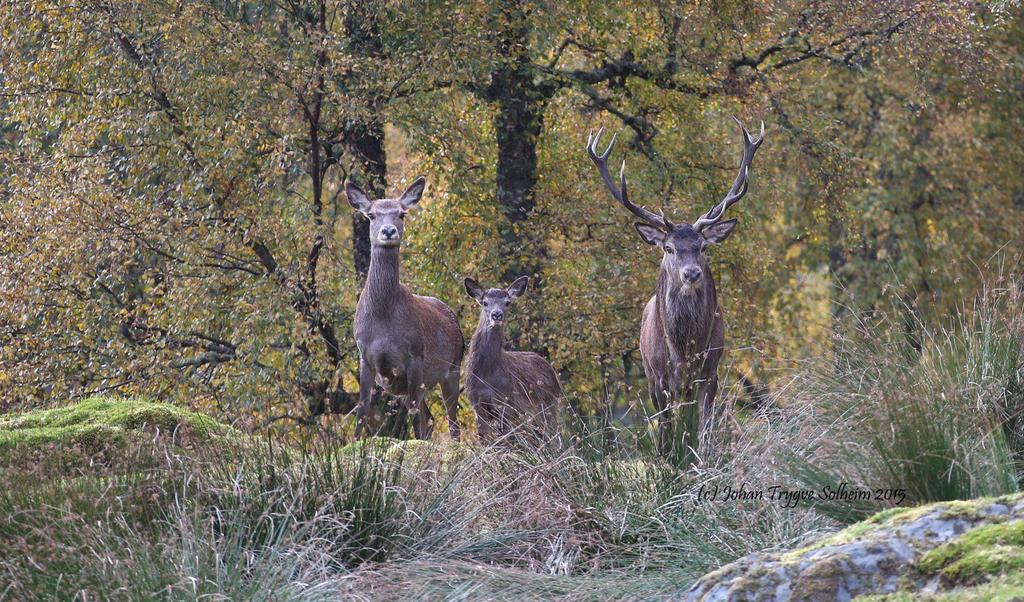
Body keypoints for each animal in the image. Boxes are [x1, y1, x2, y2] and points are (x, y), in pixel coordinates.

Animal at [350, 176, 466, 440]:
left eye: (401, 214)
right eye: (371, 215)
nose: (388, 230)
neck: (383, 318)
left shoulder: (415, 356)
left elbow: (413, 416)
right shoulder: (365, 356)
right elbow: (362, 409)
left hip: (453, 368)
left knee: (450, 418)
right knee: (429, 417)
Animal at [462, 274, 561, 440]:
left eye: (507, 302)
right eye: (484, 302)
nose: (497, 314)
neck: (486, 374)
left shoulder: (507, 401)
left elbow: (505, 440)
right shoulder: (476, 403)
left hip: (549, 406)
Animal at [589, 117, 765, 456]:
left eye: (703, 247)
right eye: (668, 248)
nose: (691, 274)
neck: (685, 349)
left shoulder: (710, 372)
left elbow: (704, 431)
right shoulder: (659, 377)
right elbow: (665, 434)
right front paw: (668, 463)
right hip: (650, 376)